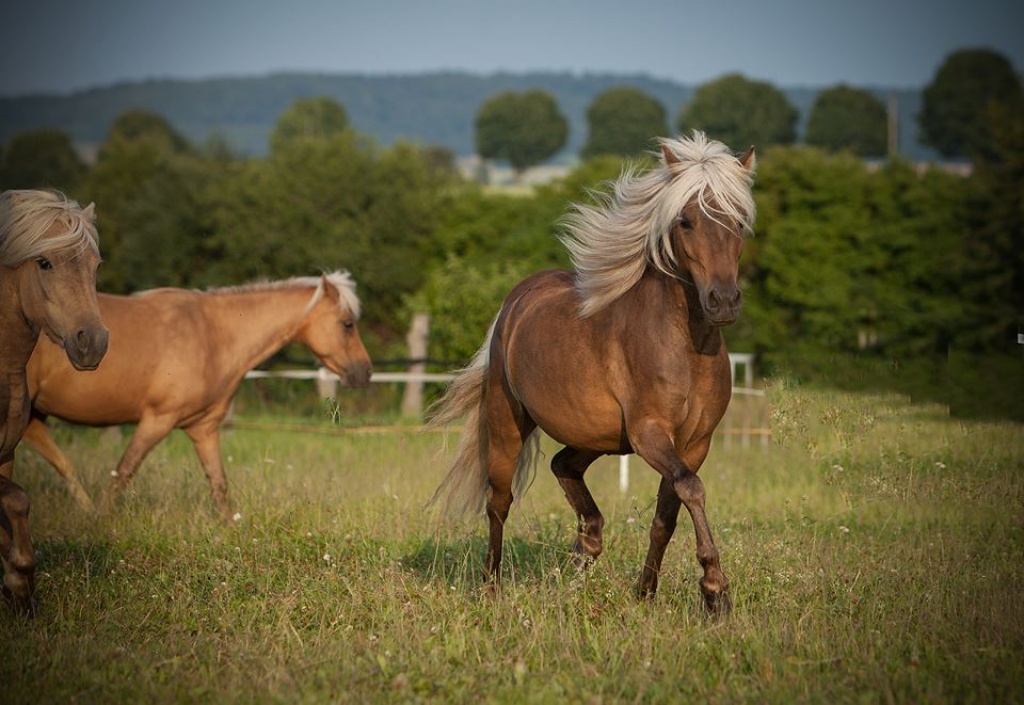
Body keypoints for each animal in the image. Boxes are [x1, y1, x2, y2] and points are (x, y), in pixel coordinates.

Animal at [0, 189, 108, 613]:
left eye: (95, 265)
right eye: (44, 262)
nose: (93, 341)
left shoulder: (6, 455)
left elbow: (14, 506)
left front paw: (19, 585)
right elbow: (16, 500)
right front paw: (19, 579)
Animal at [22, 271, 372, 525]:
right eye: (347, 324)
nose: (365, 372)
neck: (213, 334)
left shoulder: (203, 429)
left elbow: (219, 485)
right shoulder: (157, 419)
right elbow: (123, 472)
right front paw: (99, 520)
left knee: (56, 460)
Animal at [430, 133, 756, 615]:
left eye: (739, 222)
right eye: (685, 221)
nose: (724, 301)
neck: (685, 344)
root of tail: (515, 302)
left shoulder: (694, 443)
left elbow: (668, 512)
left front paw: (646, 593)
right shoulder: (651, 433)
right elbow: (692, 490)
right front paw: (715, 590)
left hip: (595, 437)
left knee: (562, 465)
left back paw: (585, 548)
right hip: (508, 424)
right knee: (499, 502)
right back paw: (491, 587)